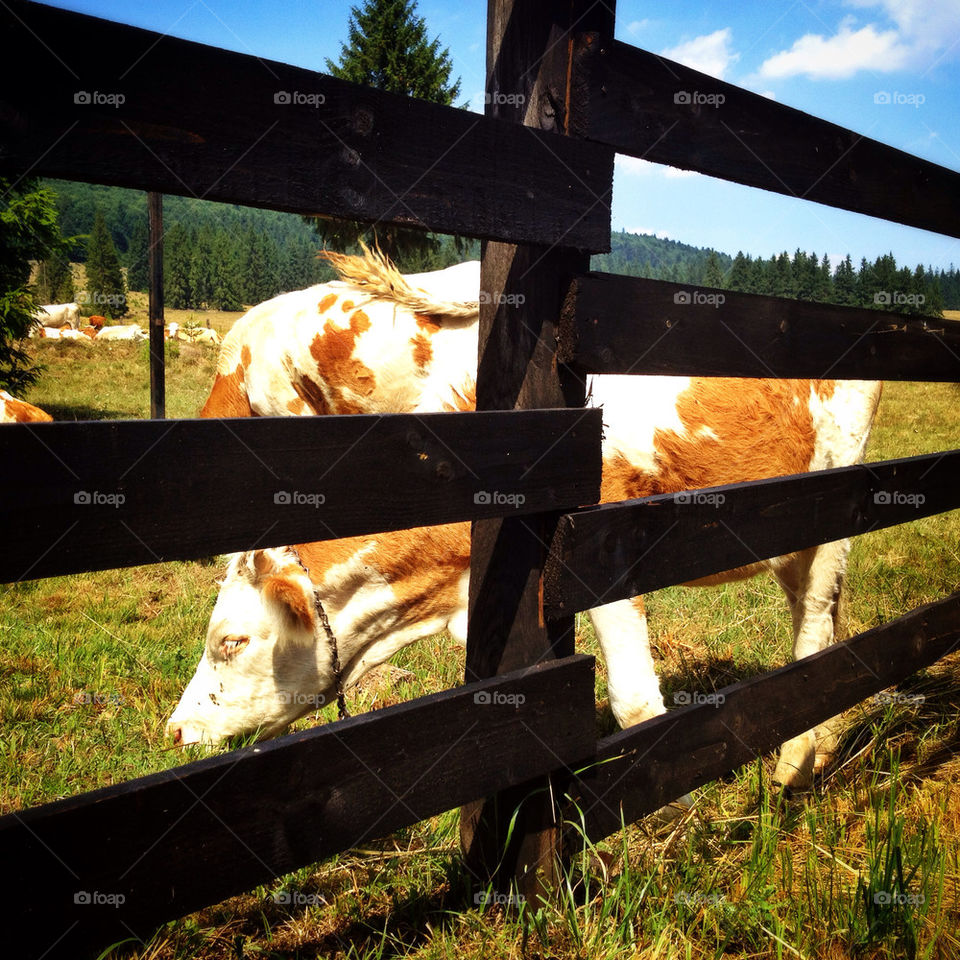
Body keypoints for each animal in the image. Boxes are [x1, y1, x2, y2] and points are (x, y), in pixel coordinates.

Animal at [167, 248, 884, 788]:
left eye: (231, 640)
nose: (175, 729)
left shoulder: (603, 549)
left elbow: (635, 701)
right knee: (822, 620)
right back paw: (818, 745)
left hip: (835, 499)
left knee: (815, 619)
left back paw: (793, 767)